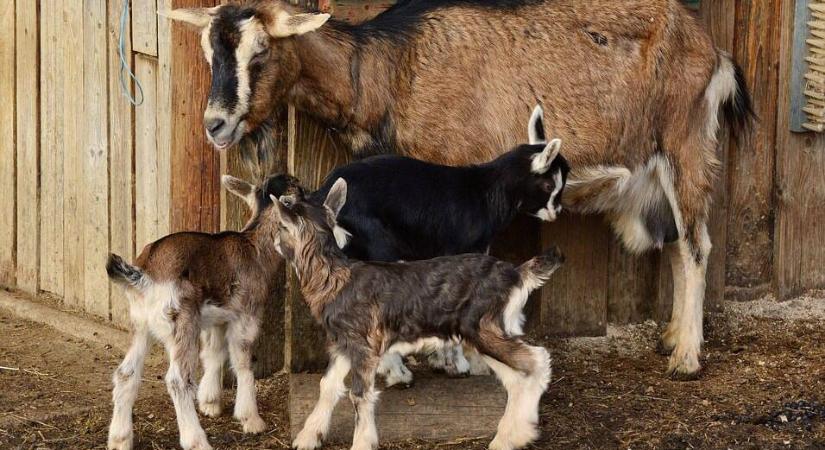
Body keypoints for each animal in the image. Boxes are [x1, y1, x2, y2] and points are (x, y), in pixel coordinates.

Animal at [167, 0, 752, 380]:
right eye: (209, 53)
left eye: (261, 52)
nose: (216, 124)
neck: (387, 70)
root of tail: (714, 50)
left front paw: (455, 358)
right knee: (677, 242)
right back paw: (671, 337)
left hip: (684, 143)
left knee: (697, 244)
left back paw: (686, 359)